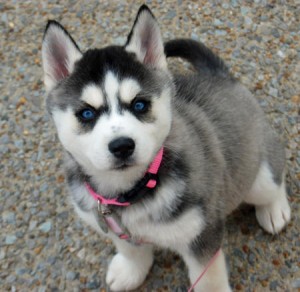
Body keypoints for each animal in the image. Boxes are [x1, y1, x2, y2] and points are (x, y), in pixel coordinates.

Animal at [41, 4, 290, 292]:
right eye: (86, 113)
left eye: (139, 105)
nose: (122, 146)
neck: (131, 191)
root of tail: (221, 77)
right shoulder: (114, 226)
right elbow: (130, 250)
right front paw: (131, 271)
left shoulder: (202, 233)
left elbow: (209, 279)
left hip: (256, 176)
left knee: (273, 178)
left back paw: (274, 209)